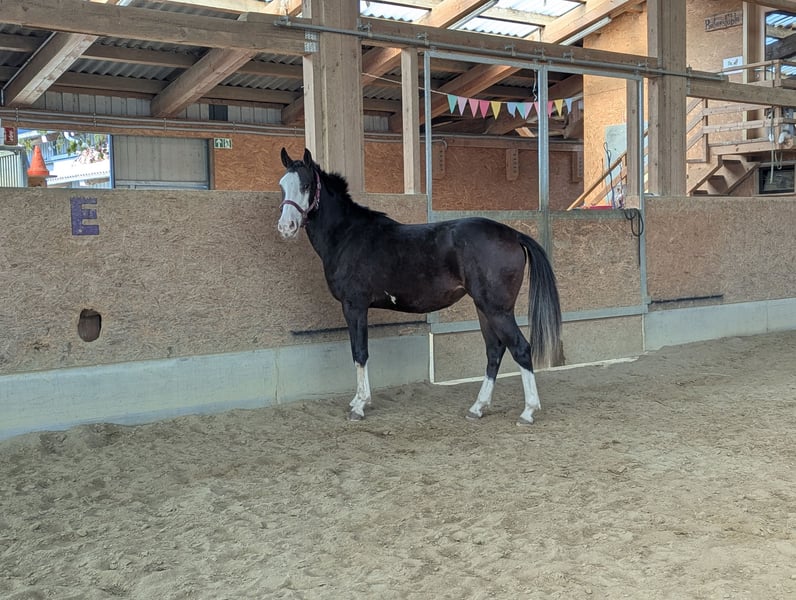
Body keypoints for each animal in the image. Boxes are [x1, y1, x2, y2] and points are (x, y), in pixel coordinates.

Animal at [277, 147, 562, 425]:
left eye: (305, 185)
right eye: (282, 186)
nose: (286, 227)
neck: (348, 235)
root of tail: (514, 234)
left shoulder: (354, 306)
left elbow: (360, 352)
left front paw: (359, 405)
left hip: (497, 310)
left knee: (520, 349)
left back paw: (528, 411)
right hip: (484, 309)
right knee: (494, 351)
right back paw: (477, 408)